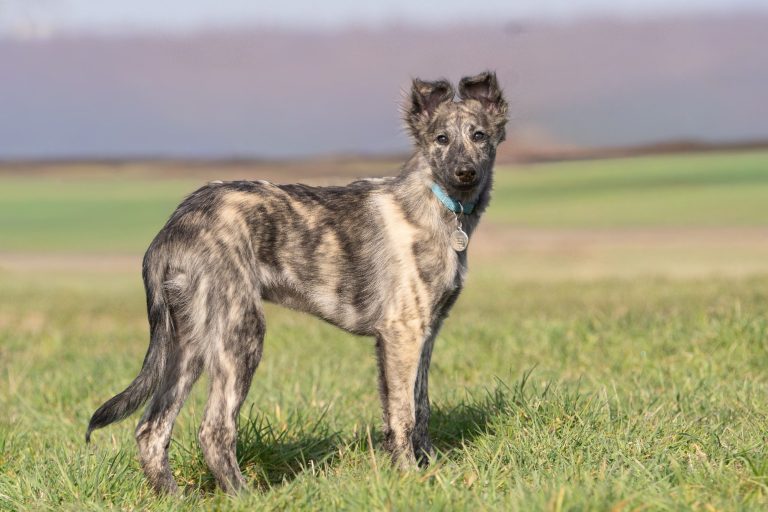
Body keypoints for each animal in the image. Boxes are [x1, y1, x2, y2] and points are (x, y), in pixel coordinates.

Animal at [86, 71, 508, 494]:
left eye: (479, 136)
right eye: (441, 139)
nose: (465, 173)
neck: (439, 204)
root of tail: (172, 228)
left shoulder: (425, 332)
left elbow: (420, 408)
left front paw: (430, 469)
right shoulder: (402, 332)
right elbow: (403, 415)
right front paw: (409, 477)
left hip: (187, 342)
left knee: (152, 429)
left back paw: (173, 496)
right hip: (240, 333)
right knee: (214, 429)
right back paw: (244, 496)